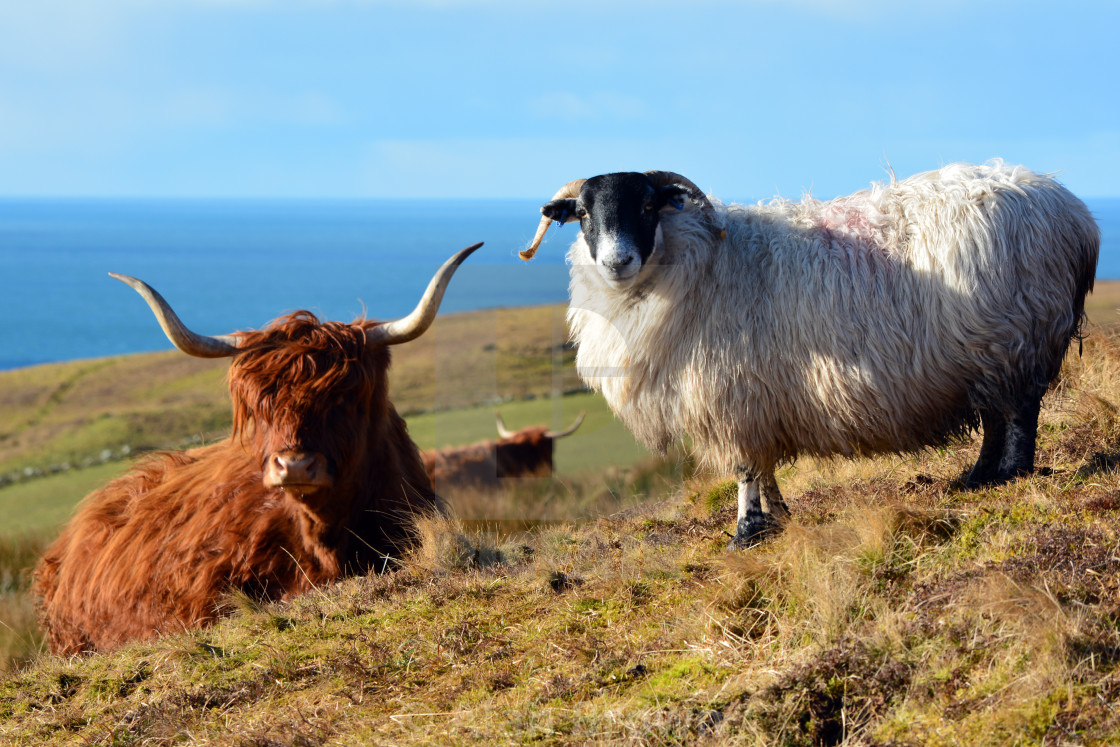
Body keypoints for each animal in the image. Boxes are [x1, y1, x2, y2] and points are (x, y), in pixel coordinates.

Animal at [519, 163, 1097, 546]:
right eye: (583, 214)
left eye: (645, 205)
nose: (617, 261)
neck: (700, 262)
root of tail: (1073, 213)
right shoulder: (756, 401)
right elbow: (766, 467)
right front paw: (779, 516)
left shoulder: (732, 394)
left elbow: (745, 469)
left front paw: (746, 532)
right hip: (984, 352)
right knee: (996, 416)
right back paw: (978, 477)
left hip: (1015, 340)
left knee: (1019, 414)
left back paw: (1011, 474)